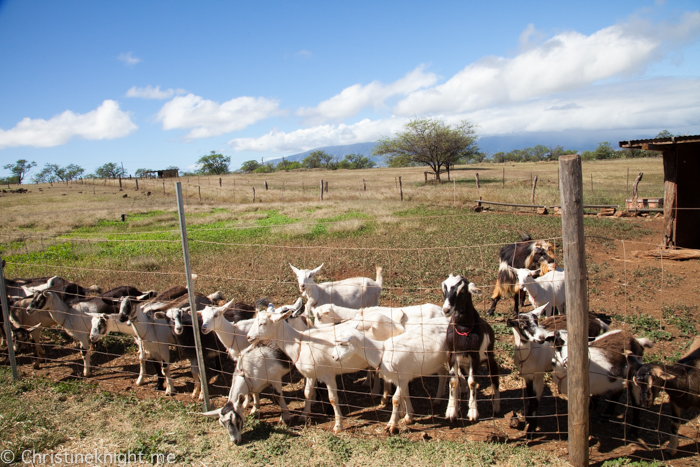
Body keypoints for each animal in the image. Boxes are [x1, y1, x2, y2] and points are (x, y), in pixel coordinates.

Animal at [442, 274, 498, 424]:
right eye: (444, 288)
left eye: (462, 290)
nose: (446, 310)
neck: (463, 329)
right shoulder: (452, 354)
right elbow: (454, 381)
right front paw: (451, 411)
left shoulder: (474, 356)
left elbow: (473, 382)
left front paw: (473, 412)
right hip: (464, 365)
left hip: (490, 359)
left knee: (494, 379)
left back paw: (496, 405)